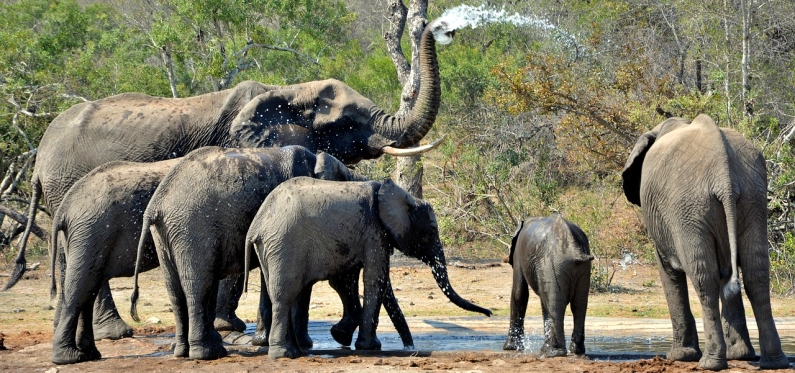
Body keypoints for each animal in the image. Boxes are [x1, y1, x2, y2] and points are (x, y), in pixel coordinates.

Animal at [49, 158, 183, 364]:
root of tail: (64, 208)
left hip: (87, 235)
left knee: (89, 289)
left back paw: (90, 354)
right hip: (91, 233)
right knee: (80, 288)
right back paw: (69, 358)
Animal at [244, 177, 492, 358]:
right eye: (431, 231)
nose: (409, 348)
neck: (397, 194)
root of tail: (256, 226)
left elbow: (350, 280)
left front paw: (343, 337)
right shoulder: (375, 231)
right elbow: (376, 277)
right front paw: (370, 347)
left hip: (271, 248)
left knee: (285, 293)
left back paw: (294, 352)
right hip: (284, 244)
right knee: (284, 296)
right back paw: (284, 355)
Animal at [500, 215, 592, 358]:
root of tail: (573, 248)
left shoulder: (518, 254)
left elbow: (519, 293)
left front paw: (510, 348)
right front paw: (543, 348)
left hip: (552, 264)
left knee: (555, 305)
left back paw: (554, 353)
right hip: (581, 268)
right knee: (578, 305)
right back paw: (576, 351)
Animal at [624, 114, 792, 370]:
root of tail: (724, 177)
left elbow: (669, 272)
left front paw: (680, 357)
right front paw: (740, 355)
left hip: (688, 208)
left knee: (705, 279)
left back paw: (710, 363)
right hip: (752, 199)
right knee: (756, 275)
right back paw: (773, 362)